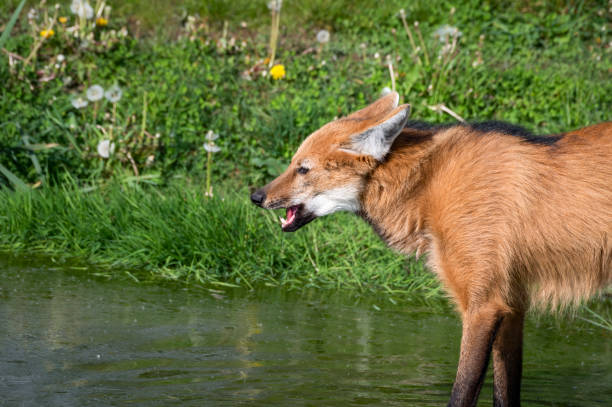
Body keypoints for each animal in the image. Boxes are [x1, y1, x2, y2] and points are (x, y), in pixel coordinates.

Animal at [250, 92, 612, 407]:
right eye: (293, 164)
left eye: (303, 169)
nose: (256, 196)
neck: (430, 184)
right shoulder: (511, 307)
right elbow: (505, 393)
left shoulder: (483, 307)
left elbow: (461, 393)